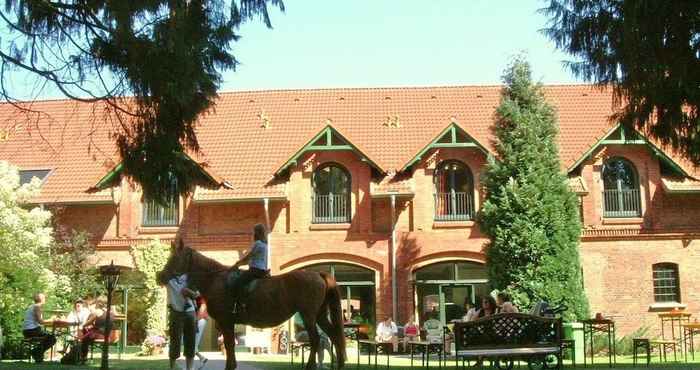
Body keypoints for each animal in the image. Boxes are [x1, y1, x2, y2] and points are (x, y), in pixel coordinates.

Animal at [157, 241, 346, 368]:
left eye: (175, 259)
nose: (160, 276)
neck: (216, 280)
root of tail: (318, 274)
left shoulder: (226, 322)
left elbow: (229, 345)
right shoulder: (227, 323)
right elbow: (230, 346)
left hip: (308, 316)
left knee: (315, 340)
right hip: (320, 315)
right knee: (334, 336)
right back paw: (340, 364)